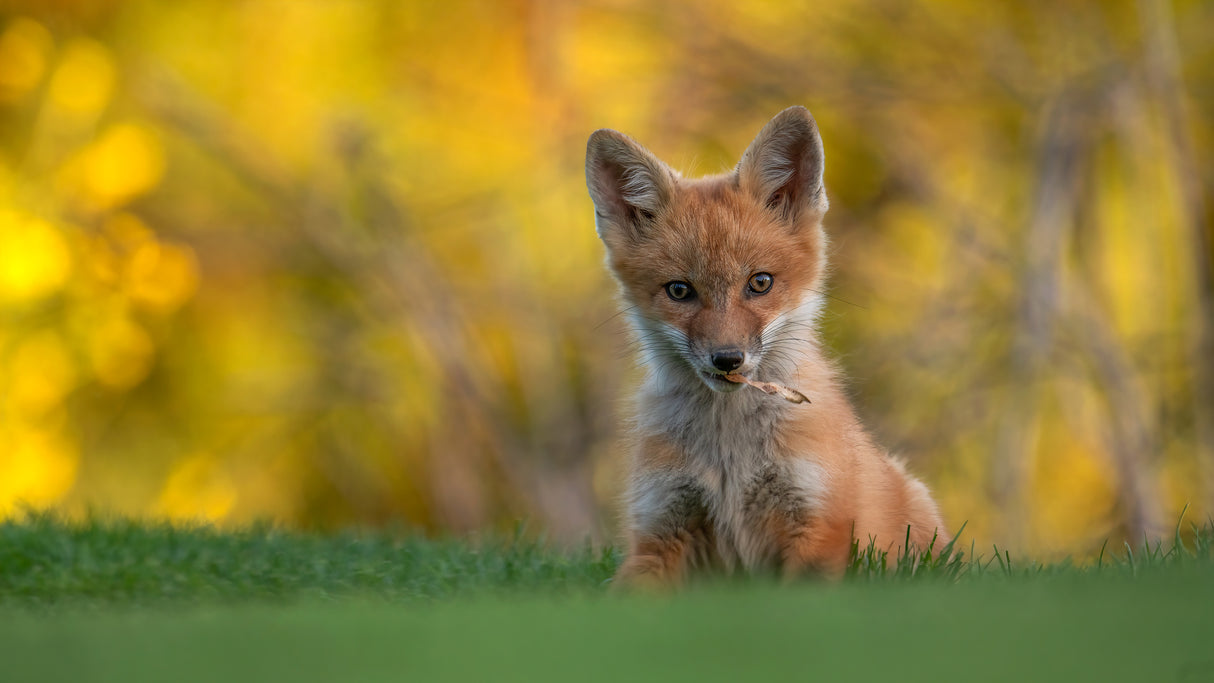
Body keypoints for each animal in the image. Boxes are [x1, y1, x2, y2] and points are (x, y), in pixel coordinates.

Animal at [585, 106, 946, 588]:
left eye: (760, 283)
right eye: (679, 290)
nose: (727, 359)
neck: (730, 455)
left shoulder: (817, 523)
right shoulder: (659, 529)